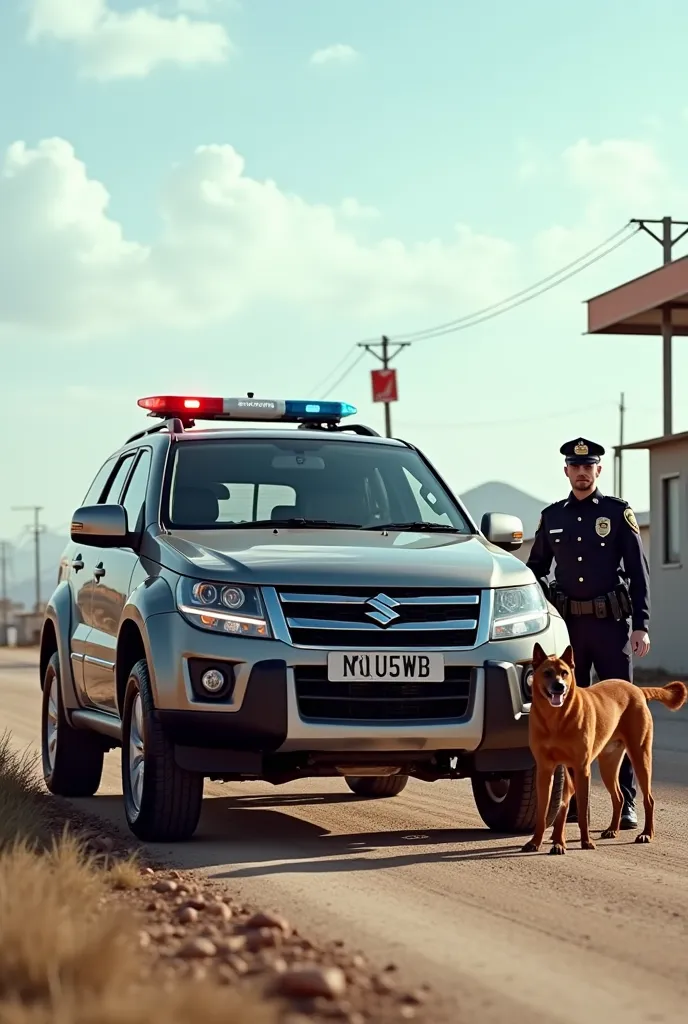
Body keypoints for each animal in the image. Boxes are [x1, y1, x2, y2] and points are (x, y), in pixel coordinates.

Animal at [524, 638, 683, 856]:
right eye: (547, 673)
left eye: (564, 673)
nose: (559, 686)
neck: (556, 719)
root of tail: (638, 690)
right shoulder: (546, 770)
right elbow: (544, 811)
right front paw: (537, 841)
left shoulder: (581, 769)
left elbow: (582, 811)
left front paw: (585, 841)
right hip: (608, 764)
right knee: (618, 797)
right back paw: (611, 830)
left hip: (640, 756)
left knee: (648, 799)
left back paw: (646, 834)